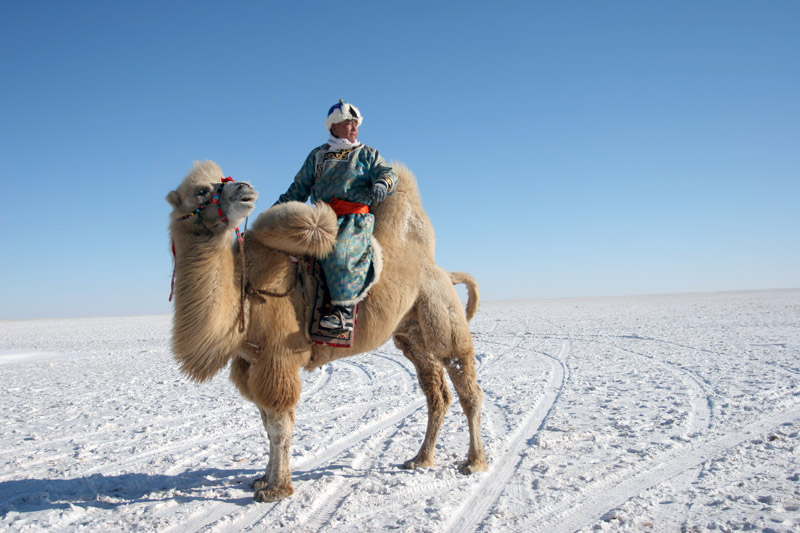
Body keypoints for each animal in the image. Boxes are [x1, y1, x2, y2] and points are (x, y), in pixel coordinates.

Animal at [166, 160, 484, 500]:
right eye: (202, 190)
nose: (245, 188)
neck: (246, 290)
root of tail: (445, 273)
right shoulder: (251, 363)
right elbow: (266, 422)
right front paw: (262, 480)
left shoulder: (277, 357)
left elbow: (279, 426)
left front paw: (276, 489)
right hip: (411, 336)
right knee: (437, 394)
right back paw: (420, 459)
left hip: (443, 317)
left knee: (467, 386)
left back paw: (474, 462)